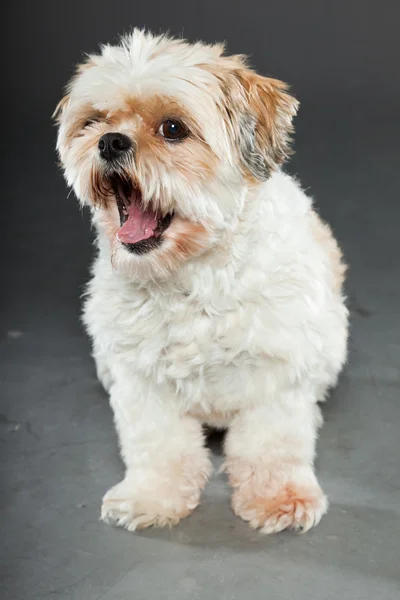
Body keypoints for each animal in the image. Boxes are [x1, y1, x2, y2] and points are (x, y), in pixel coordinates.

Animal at [54, 28, 348, 536]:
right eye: (94, 122)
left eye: (173, 129)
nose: (109, 142)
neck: (191, 275)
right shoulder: (141, 380)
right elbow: (159, 445)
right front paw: (152, 496)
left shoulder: (277, 377)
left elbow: (271, 445)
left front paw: (279, 499)